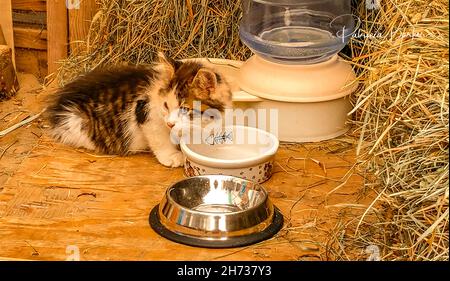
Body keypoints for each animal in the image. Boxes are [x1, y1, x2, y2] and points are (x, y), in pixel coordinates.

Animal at [46, 52, 232, 166]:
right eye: (166, 105)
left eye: (185, 109)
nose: (170, 123)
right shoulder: (146, 114)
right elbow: (160, 138)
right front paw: (171, 156)